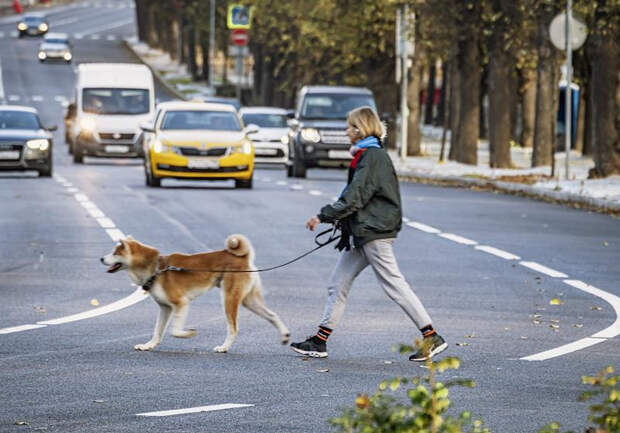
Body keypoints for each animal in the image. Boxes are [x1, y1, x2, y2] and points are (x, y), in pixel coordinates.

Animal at [101, 235, 290, 352]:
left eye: (115, 253)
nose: (101, 258)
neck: (156, 268)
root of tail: (242, 257)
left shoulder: (181, 303)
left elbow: (174, 330)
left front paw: (188, 333)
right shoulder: (165, 308)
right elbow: (158, 331)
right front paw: (149, 345)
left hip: (229, 299)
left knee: (233, 328)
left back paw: (224, 347)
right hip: (248, 301)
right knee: (272, 315)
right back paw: (285, 335)